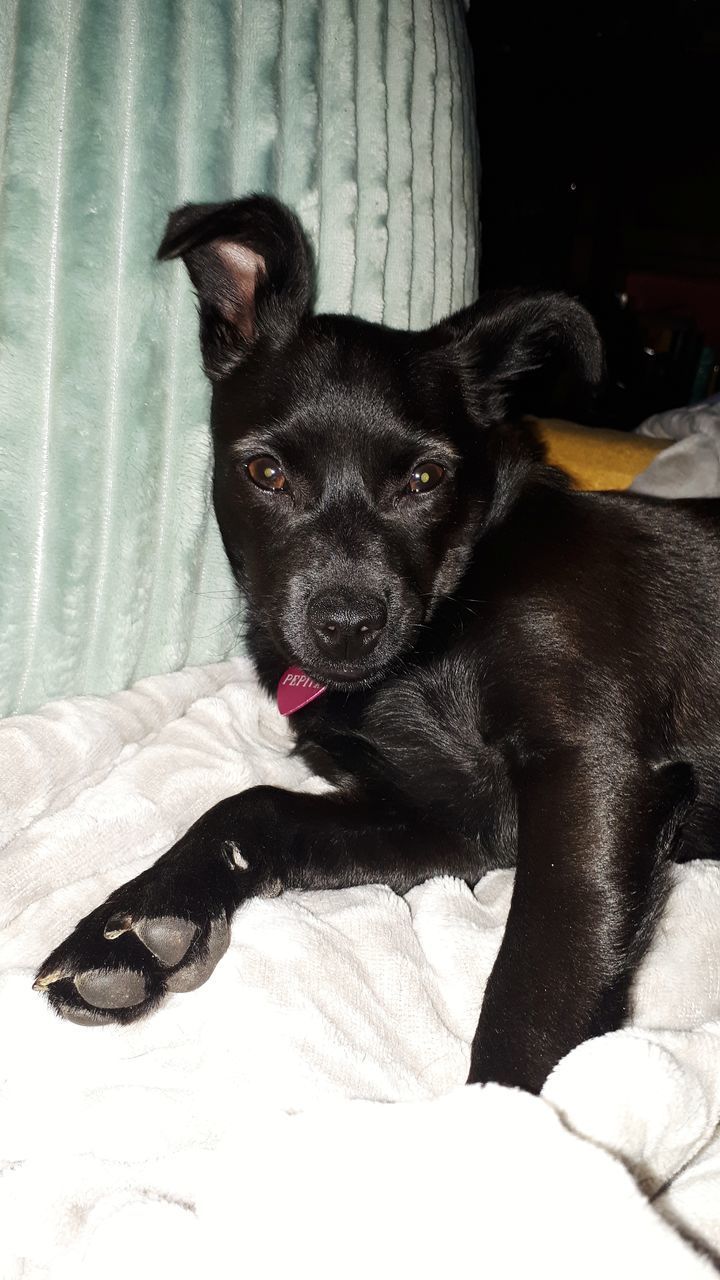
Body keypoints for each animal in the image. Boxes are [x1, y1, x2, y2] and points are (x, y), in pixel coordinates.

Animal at [35, 197, 717, 1090]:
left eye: (426, 481)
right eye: (265, 473)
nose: (348, 624)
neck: (446, 620)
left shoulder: (596, 771)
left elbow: (540, 975)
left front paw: (513, 1119)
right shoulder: (454, 823)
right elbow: (254, 806)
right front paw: (134, 923)